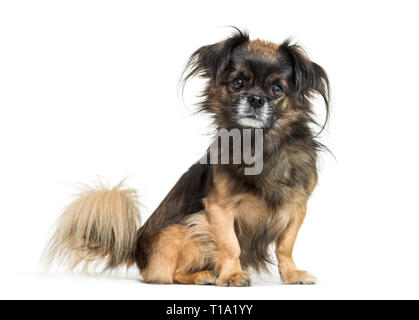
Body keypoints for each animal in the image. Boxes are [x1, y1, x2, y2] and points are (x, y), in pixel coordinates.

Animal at [46, 28, 332, 286]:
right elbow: (231, 245)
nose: (255, 99)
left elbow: (285, 246)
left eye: (276, 90)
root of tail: (136, 246)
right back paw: (204, 276)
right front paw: (232, 275)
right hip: (191, 227)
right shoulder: (219, 209)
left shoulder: (296, 207)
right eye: (237, 83)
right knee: (171, 274)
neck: (259, 144)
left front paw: (292, 275)